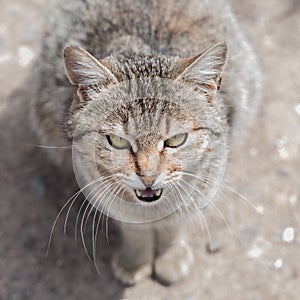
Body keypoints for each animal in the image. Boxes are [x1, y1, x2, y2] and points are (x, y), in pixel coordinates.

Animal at [29, 0, 260, 286]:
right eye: (117, 141)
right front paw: (135, 261)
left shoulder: (203, 184)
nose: (148, 177)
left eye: (175, 140)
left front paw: (170, 256)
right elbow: (133, 228)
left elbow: (175, 223)